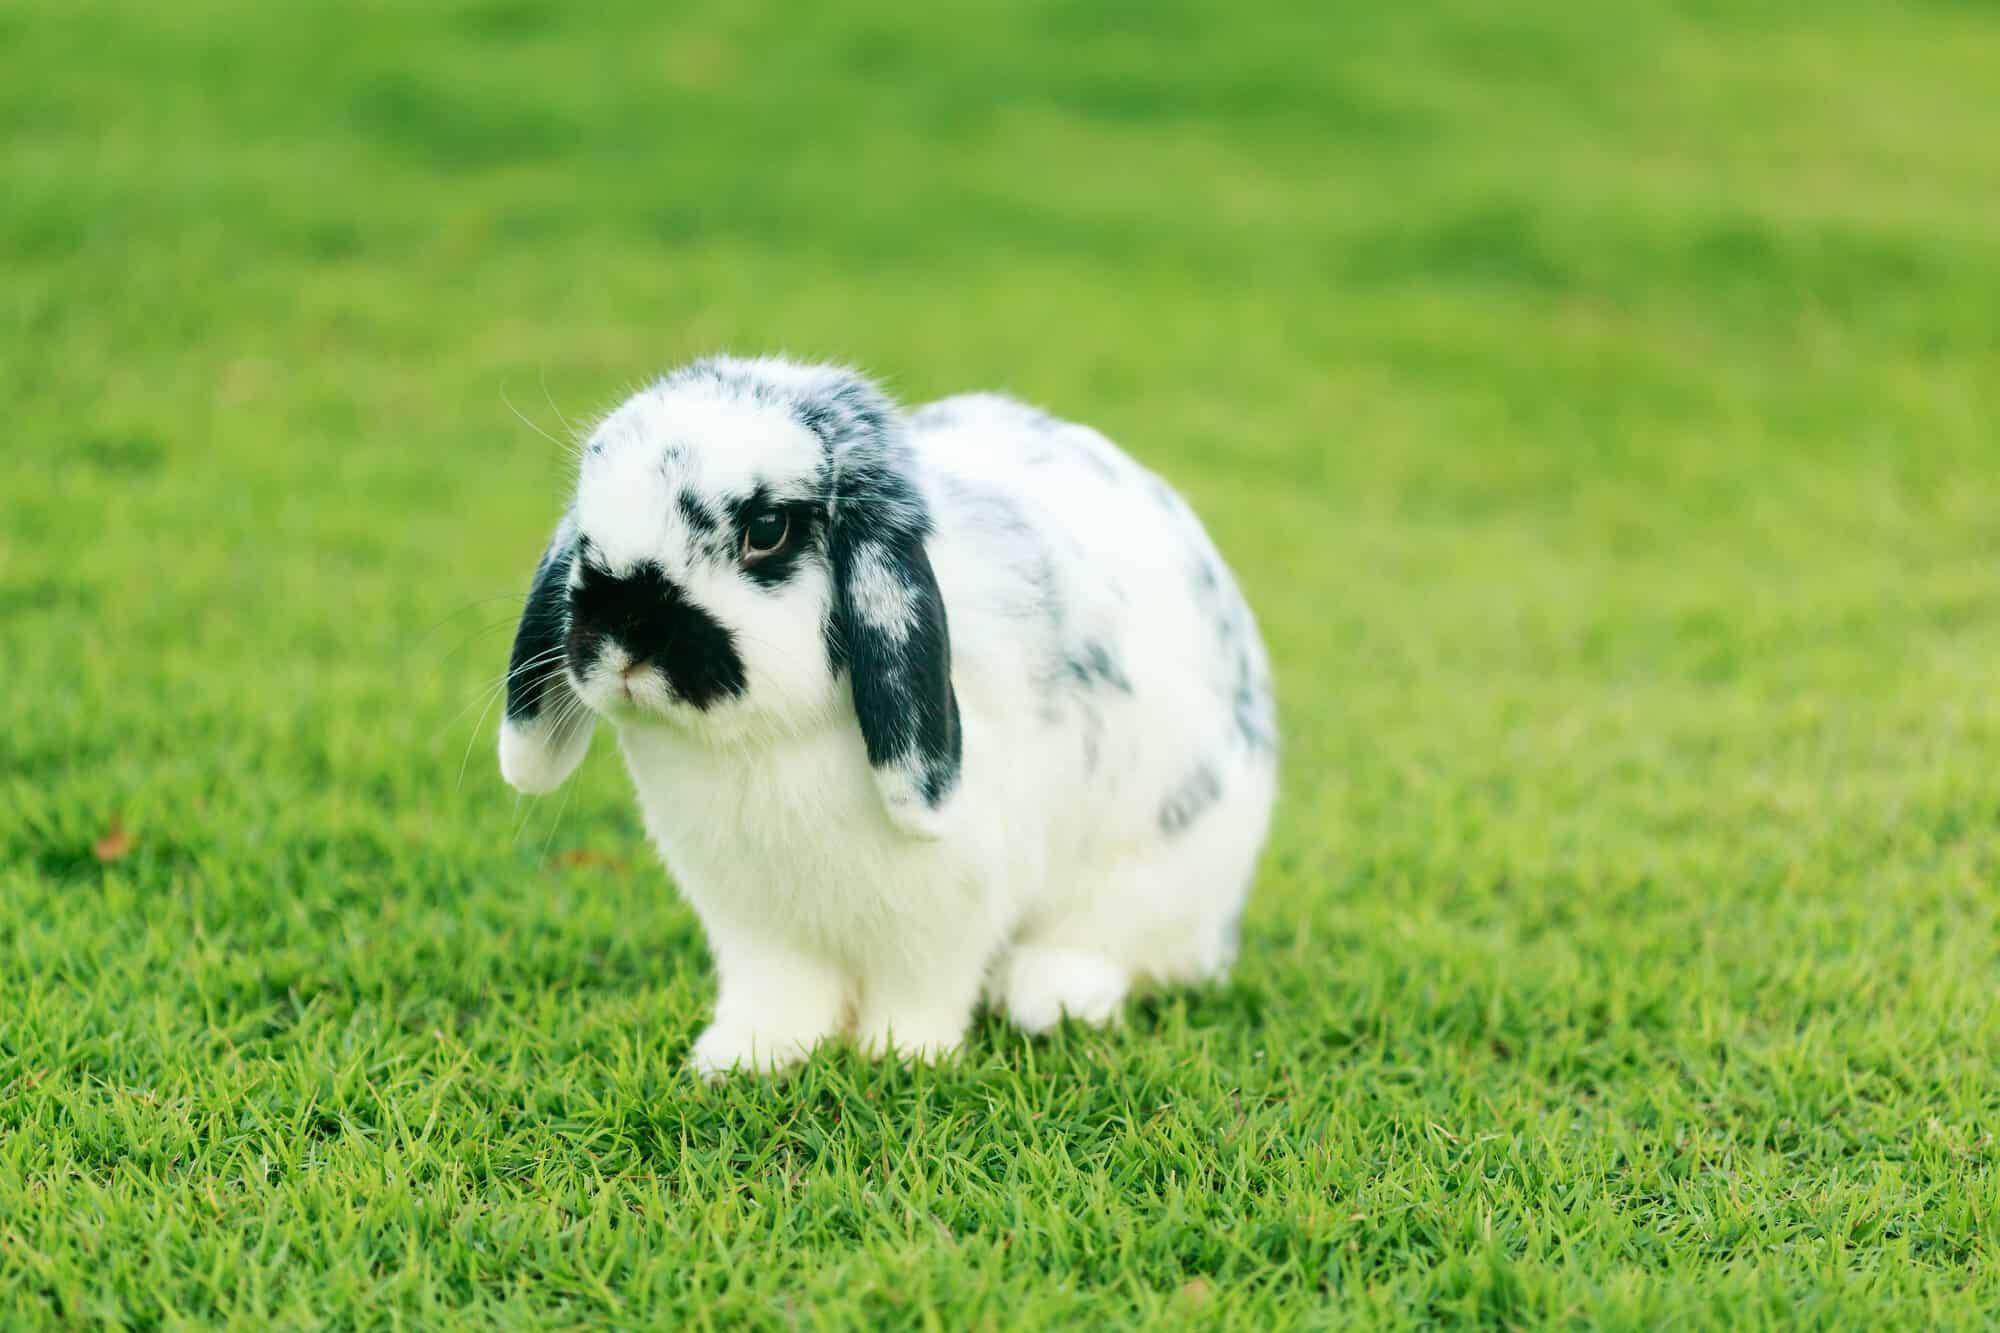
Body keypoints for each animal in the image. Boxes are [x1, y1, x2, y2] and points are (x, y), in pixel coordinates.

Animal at [500, 358, 1280, 1072]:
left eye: (767, 528)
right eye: (587, 522)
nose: (622, 634)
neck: (760, 746)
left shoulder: (946, 912)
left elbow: (921, 990)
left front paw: (901, 1057)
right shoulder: (755, 923)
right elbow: (779, 995)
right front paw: (744, 1057)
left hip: (1149, 878)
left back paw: (1047, 999)